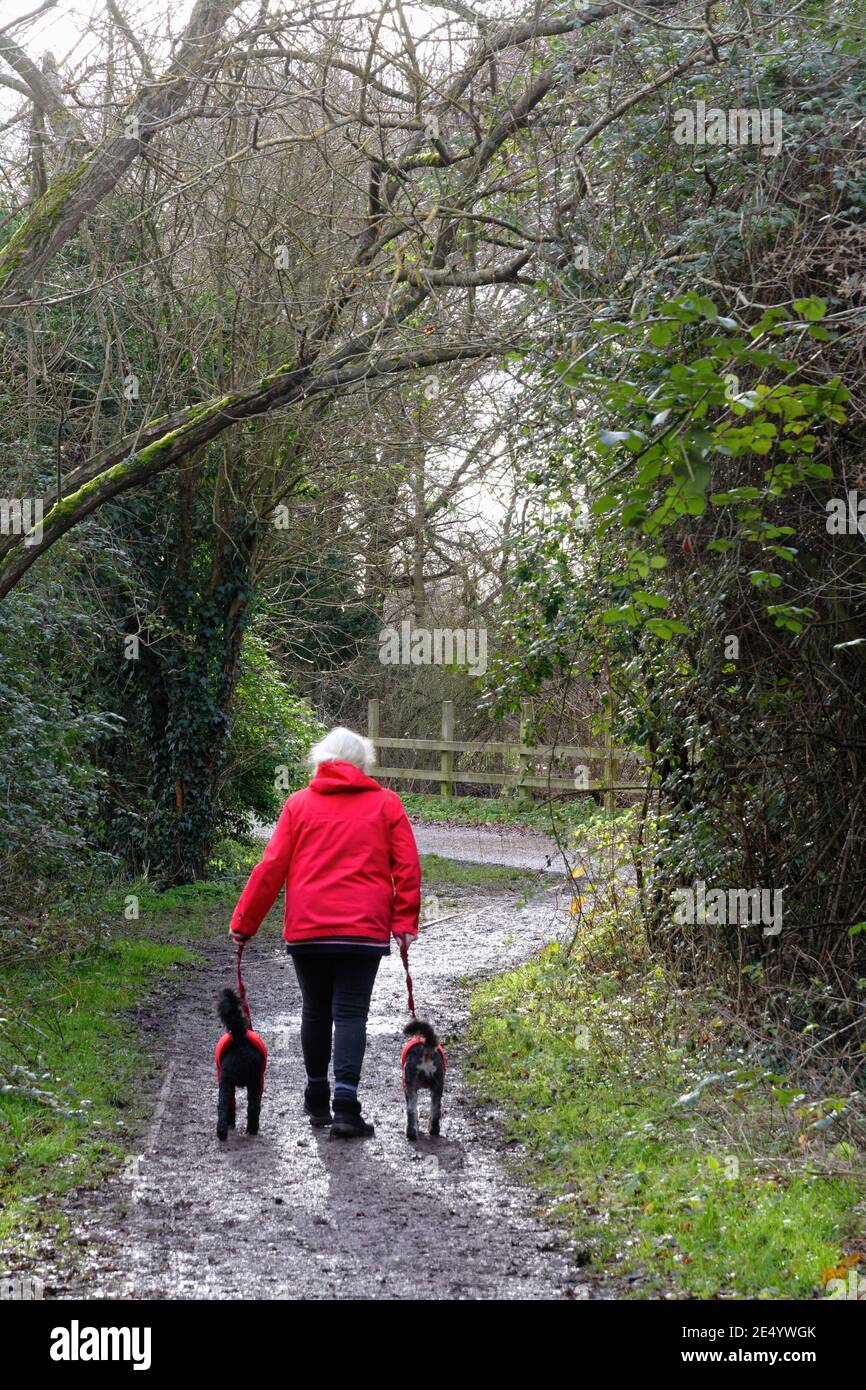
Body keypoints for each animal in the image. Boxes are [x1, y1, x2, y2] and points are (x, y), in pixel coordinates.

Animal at [214, 989, 265, 1139]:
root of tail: (241, 1043)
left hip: (227, 1082)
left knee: (225, 1106)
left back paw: (223, 1131)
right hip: (252, 1082)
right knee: (252, 1108)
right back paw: (251, 1129)